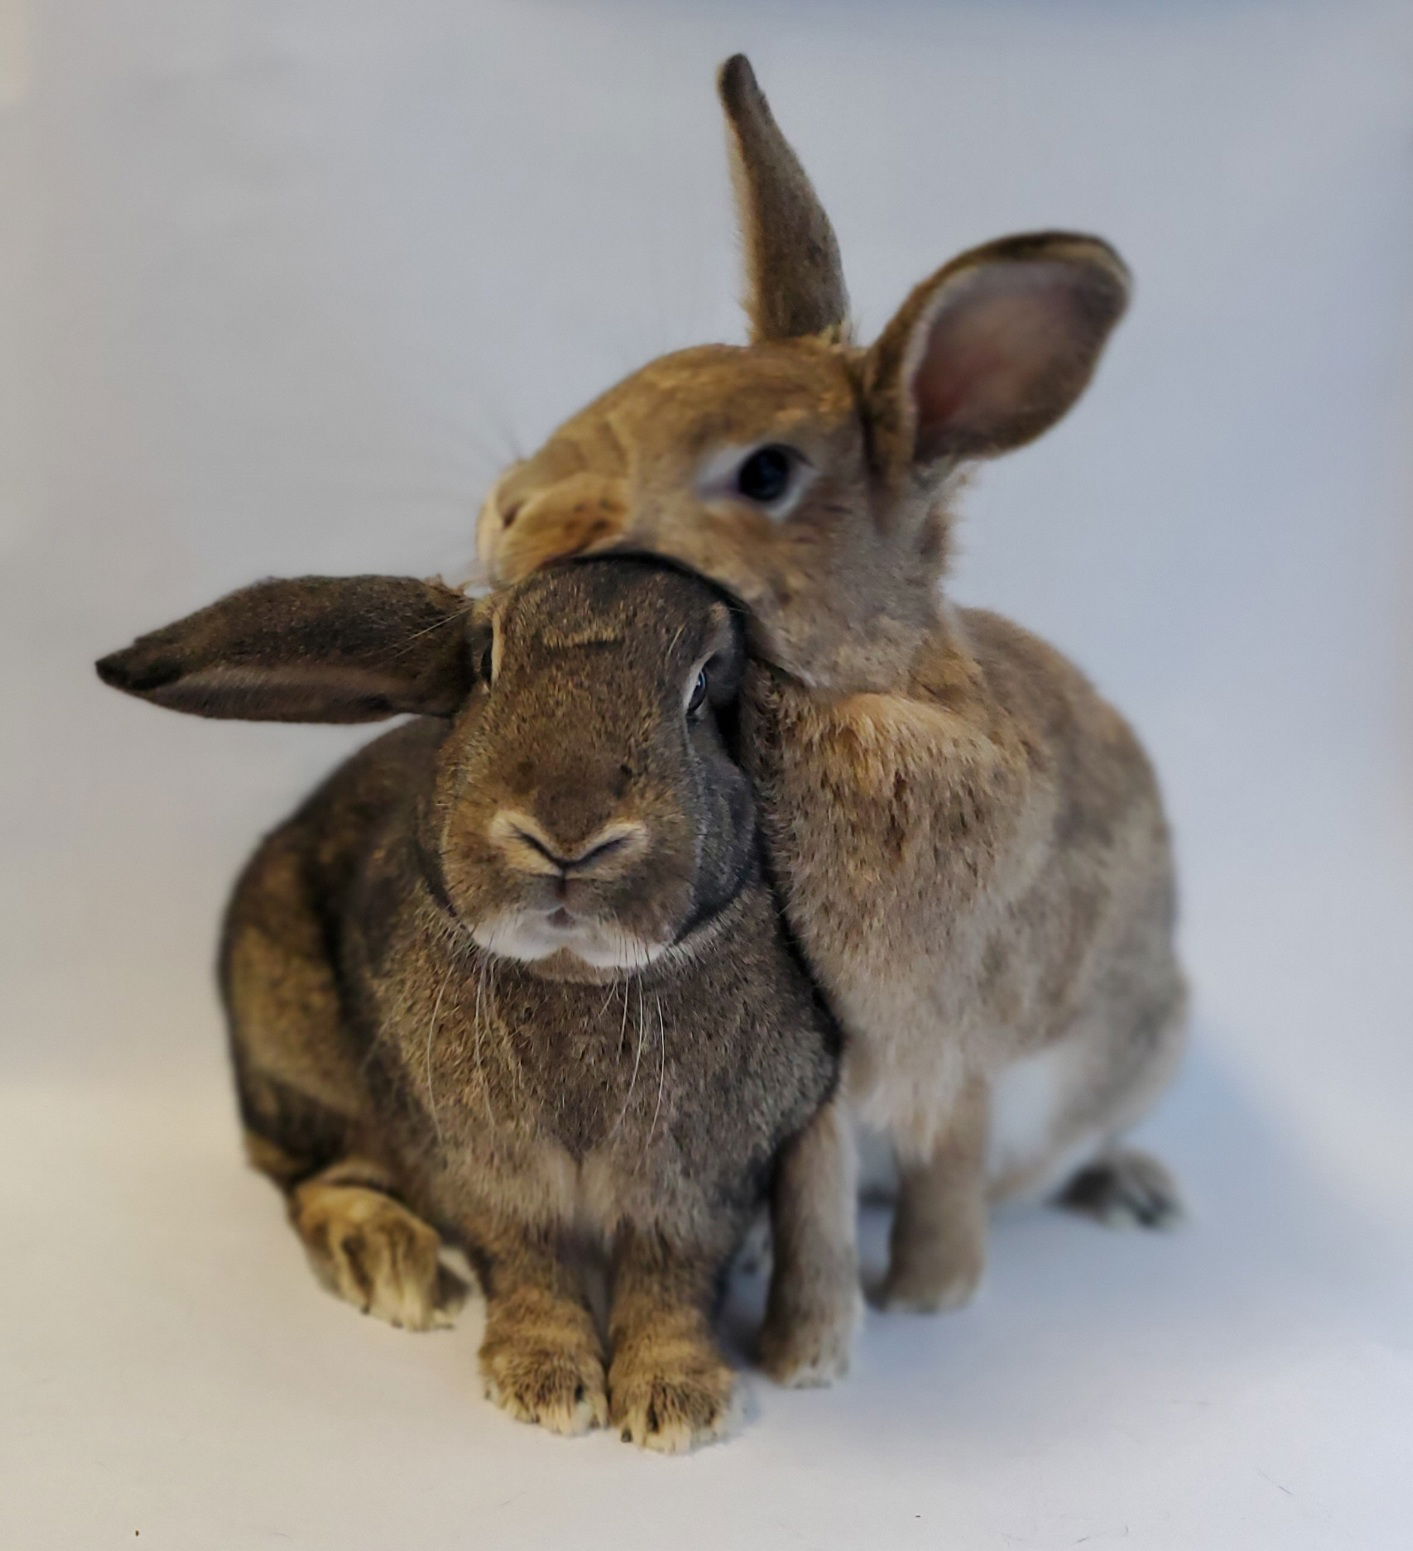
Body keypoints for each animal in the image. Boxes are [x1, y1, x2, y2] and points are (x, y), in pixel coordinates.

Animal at [93, 561, 843, 1451]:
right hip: (293, 1049)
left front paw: (675, 1402)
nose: (567, 835)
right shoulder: (487, 1169)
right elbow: (527, 1259)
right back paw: (386, 1261)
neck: (573, 975)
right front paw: (545, 1383)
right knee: (310, 1178)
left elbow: (673, 1284)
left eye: (702, 692)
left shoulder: (700, 1181)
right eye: (487, 661)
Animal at [477, 54, 1191, 1383]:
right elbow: (811, 1193)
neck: (853, 688)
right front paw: (808, 1352)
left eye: (764, 473)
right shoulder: (821, 1078)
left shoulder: (958, 1038)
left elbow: (950, 1163)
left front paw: (932, 1300)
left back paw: (1136, 1193)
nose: (514, 510)